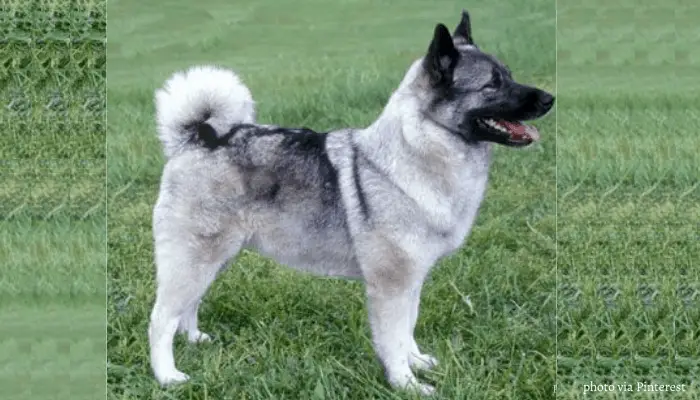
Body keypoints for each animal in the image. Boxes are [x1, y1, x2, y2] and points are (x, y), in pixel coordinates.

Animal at [148, 10, 552, 396]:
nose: (550, 99)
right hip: (194, 257)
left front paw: (417, 362)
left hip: (215, 257)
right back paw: (168, 376)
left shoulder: (412, 280)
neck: (413, 155)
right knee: (161, 319)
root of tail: (198, 137)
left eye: (509, 75)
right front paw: (406, 384)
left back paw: (195, 340)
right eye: (492, 84)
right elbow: (393, 340)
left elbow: (408, 328)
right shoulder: (390, 286)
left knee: (189, 305)